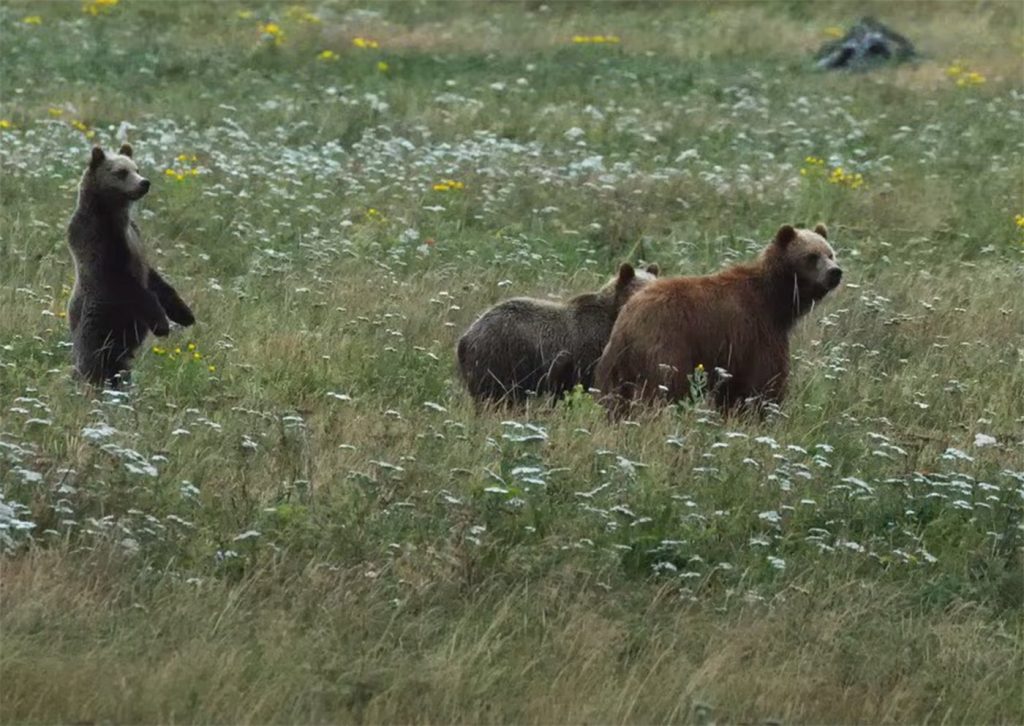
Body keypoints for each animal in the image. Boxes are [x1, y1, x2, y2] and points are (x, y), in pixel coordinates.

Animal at [67, 143, 194, 387]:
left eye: (137, 168)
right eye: (121, 172)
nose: (144, 182)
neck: (113, 215)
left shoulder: (134, 237)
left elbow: (155, 279)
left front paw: (185, 314)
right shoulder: (100, 244)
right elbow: (130, 285)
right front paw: (162, 324)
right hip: (99, 328)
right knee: (93, 363)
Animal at [598, 223, 843, 413]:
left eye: (830, 253)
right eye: (812, 256)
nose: (835, 272)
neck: (777, 301)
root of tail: (626, 322)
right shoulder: (756, 330)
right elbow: (765, 380)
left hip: (615, 364)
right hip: (667, 346)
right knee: (665, 389)